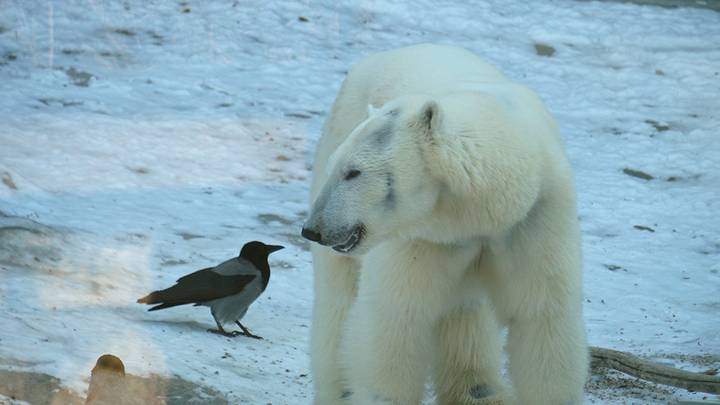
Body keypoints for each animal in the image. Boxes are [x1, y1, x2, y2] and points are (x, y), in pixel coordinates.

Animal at [300, 42, 588, 402]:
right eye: (338, 168)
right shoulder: (423, 238)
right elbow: (394, 319)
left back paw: (481, 391)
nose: (313, 229)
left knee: (467, 312)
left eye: (354, 172)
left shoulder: (533, 220)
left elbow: (543, 318)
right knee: (338, 296)